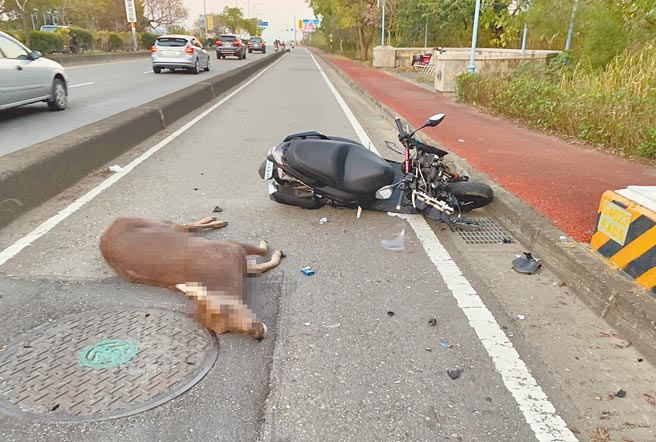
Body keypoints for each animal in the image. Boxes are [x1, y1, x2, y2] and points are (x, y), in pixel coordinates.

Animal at [99, 216, 284, 340]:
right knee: (185, 227)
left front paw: (271, 247)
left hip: (158, 223)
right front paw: (276, 253)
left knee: (183, 225)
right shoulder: (235, 253)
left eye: (226, 308)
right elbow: (260, 266)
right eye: (225, 331)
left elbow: (261, 253)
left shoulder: (232, 246)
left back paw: (215, 220)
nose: (257, 333)